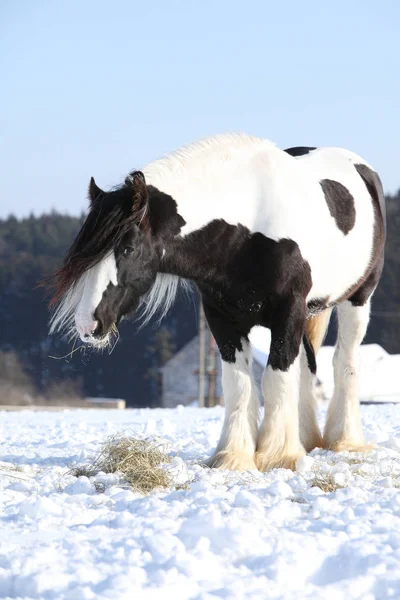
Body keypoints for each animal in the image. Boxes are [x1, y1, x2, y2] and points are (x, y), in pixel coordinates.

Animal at [46, 134, 384, 472]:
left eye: (127, 248)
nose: (88, 323)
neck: (249, 225)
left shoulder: (288, 312)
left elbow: (275, 378)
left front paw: (278, 455)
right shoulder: (222, 318)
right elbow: (238, 385)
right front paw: (234, 457)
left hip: (357, 300)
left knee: (343, 362)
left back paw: (344, 441)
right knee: (307, 365)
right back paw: (308, 439)